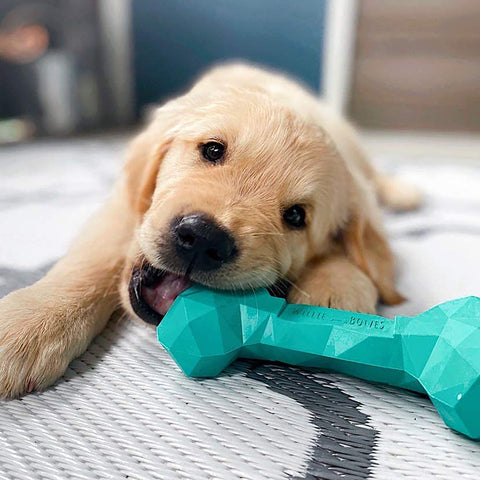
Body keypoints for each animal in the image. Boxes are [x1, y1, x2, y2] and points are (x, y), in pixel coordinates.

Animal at [0, 64, 420, 402]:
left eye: (296, 216)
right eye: (213, 150)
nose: (203, 240)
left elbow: (358, 247)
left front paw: (336, 287)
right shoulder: (123, 204)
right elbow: (94, 258)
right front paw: (30, 324)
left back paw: (403, 191)